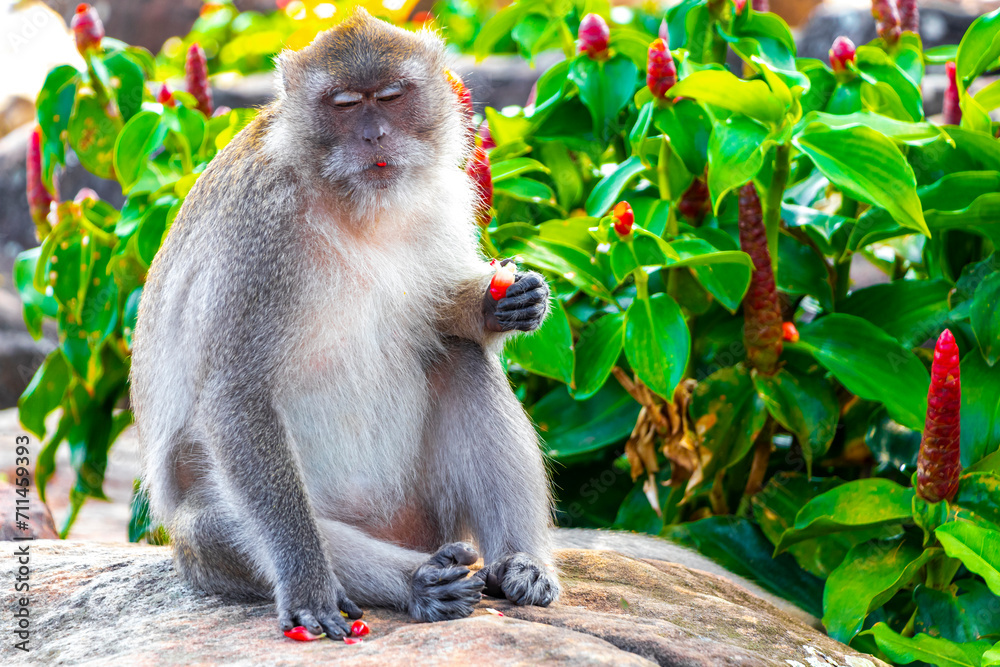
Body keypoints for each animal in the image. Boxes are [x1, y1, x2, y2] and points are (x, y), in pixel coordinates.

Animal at [129, 7, 560, 640]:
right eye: (346, 104)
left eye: (391, 96)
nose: (374, 135)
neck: (350, 202)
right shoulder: (261, 234)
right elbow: (236, 393)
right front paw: (309, 584)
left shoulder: (442, 194)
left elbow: (440, 317)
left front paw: (498, 304)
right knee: (213, 524)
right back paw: (420, 583)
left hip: (425, 511)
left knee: (458, 355)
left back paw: (517, 563)